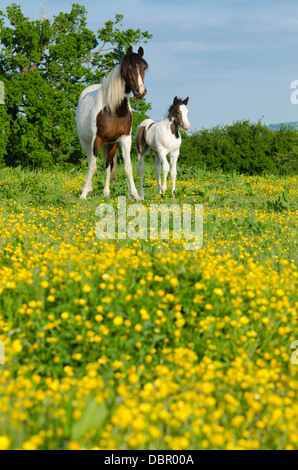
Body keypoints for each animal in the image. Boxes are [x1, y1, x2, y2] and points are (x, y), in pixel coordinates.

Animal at [75, 44, 148, 198]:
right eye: (129, 67)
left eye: (144, 67)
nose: (140, 92)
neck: (115, 109)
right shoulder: (96, 139)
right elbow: (92, 167)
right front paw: (83, 194)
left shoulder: (125, 139)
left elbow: (127, 167)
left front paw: (135, 195)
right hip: (85, 141)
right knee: (90, 161)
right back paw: (89, 189)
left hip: (111, 144)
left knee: (108, 165)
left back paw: (106, 192)